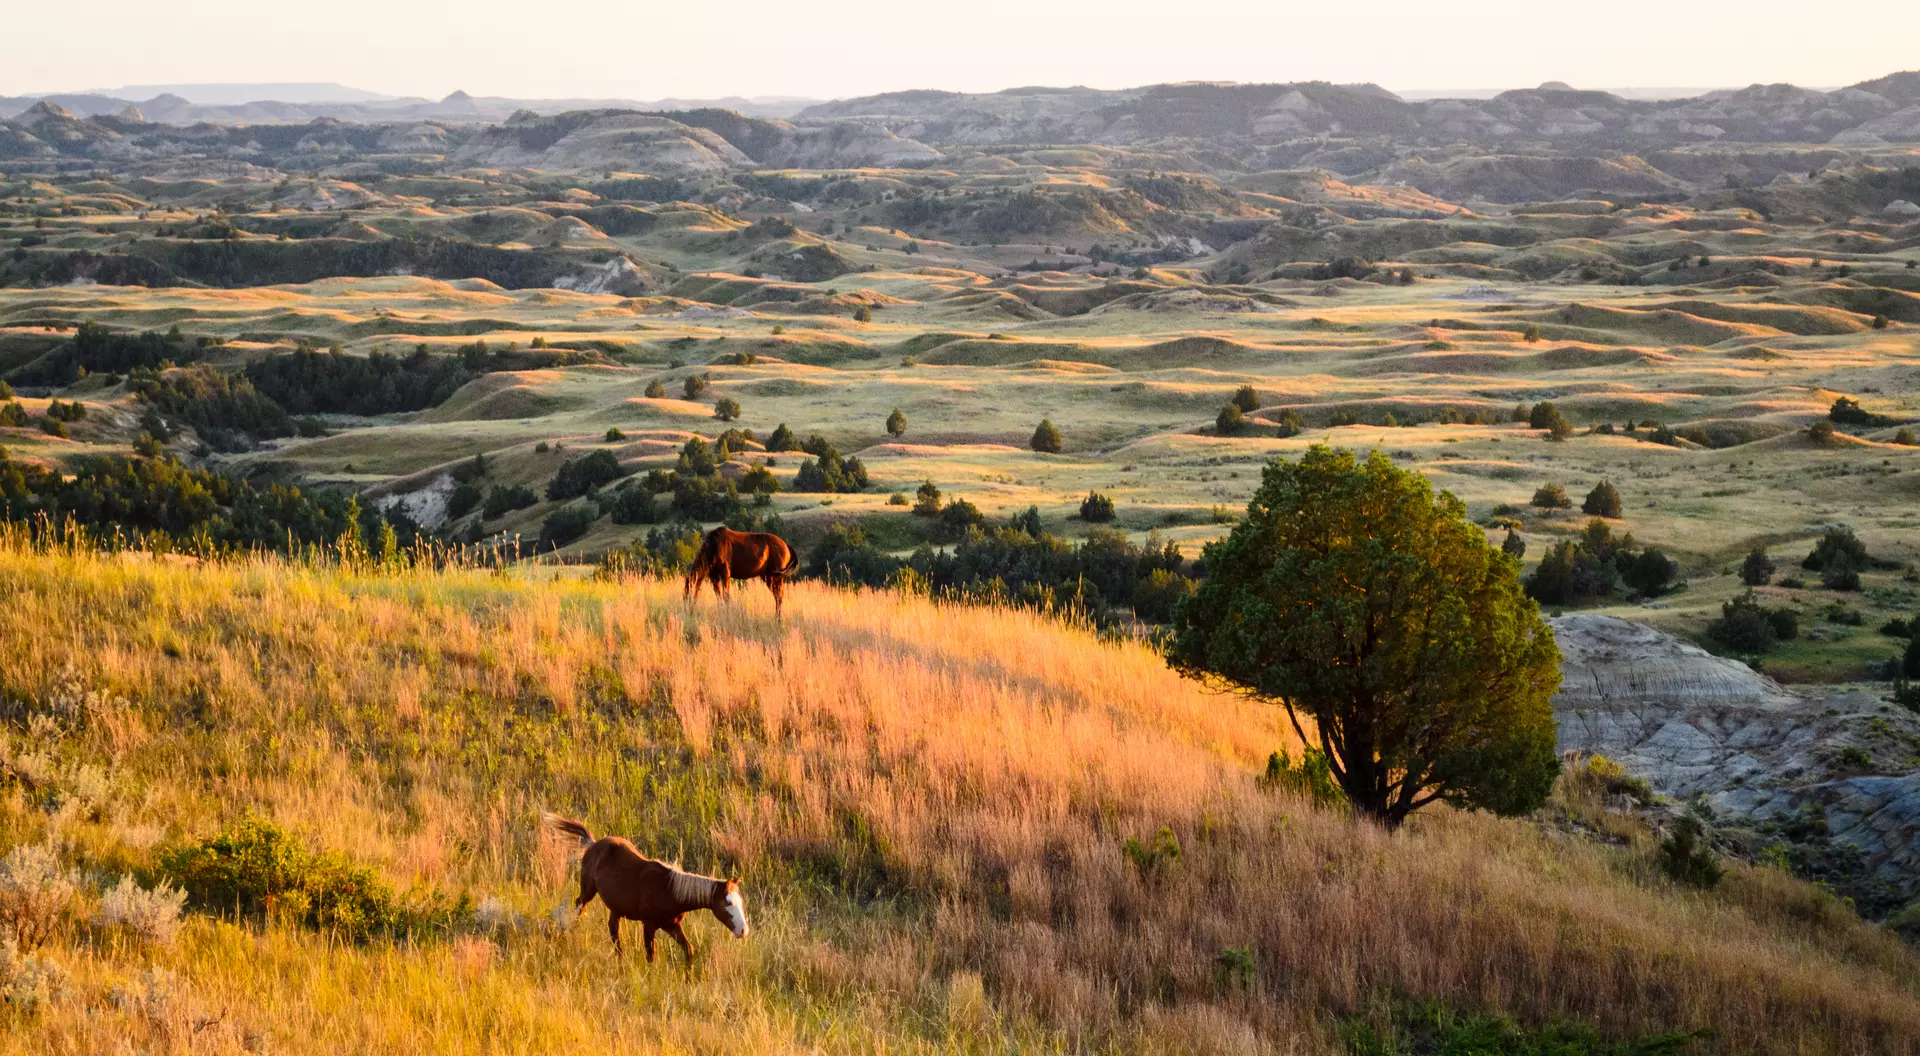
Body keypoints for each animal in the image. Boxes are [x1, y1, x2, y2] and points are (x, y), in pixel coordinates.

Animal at [543, 814, 749, 964]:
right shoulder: (649, 925)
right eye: (728, 903)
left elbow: (688, 950)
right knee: (579, 906)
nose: (743, 931)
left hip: (616, 908)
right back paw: (568, 931)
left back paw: (620, 958)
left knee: (613, 930)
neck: (670, 891)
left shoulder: (672, 925)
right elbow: (651, 955)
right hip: (588, 891)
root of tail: (592, 844)